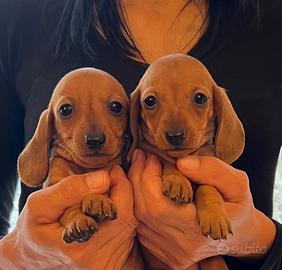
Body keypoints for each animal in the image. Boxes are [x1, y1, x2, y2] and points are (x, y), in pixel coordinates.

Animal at [16, 67, 129, 243]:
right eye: (65, 109)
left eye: (116, 107)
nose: (95, 140)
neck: (86, 169)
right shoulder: (54, 183)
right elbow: (69, 208)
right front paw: (77, 221)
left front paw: (99, 199)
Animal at [128, 54, 245, 270]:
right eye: (150, 101)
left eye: (200, 98)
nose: (175, 136)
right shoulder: (150, 154)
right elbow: (166, 162)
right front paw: (178, 181)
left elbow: (208, 187)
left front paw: (215, 216)